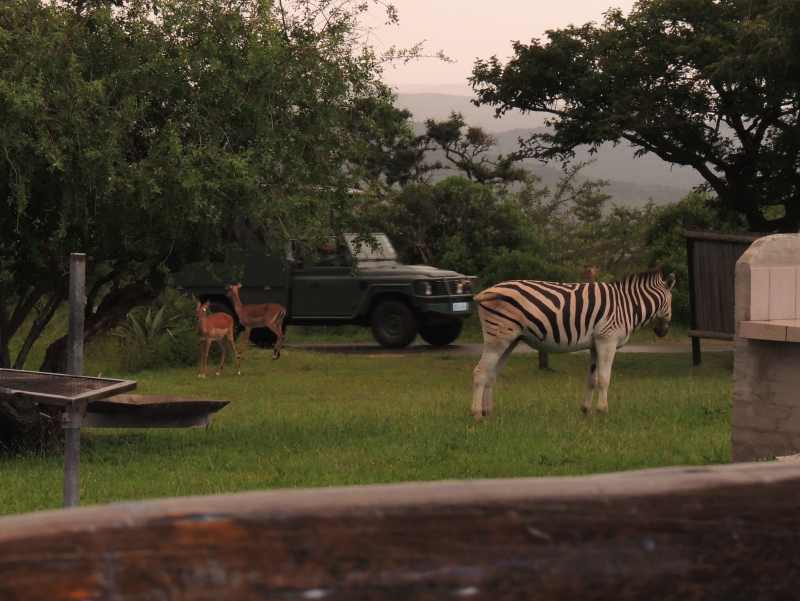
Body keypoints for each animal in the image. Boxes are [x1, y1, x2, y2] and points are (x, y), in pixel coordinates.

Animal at [472, 270, 676, 419]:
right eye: (671, 301)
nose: (662, 332)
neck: (628, 305)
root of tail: (489, 290)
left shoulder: (595, 344)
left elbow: (592, 379)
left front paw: (586, 410)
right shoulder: (607, 340)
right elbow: (604, 378)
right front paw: (603, 410)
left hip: (510, 340)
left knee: (491, 374)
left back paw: (488, 412)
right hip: (497, 338)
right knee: (480, 371)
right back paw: (477, 414)